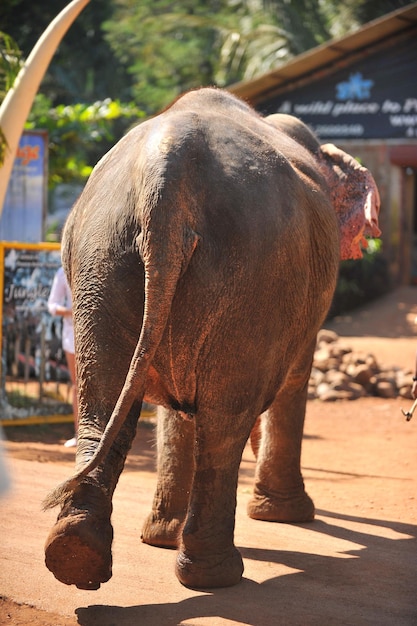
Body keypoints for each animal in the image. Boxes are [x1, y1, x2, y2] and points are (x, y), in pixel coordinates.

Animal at [43, 86, 380, 588]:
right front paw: (287, 517)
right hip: (253, 273)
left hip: (100, 259)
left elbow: (175, 412)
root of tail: (166, 178)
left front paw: (160, 540)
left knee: (104, 402)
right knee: (225, 422)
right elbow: (291, 380)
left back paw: (76, 554)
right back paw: (216, 575)